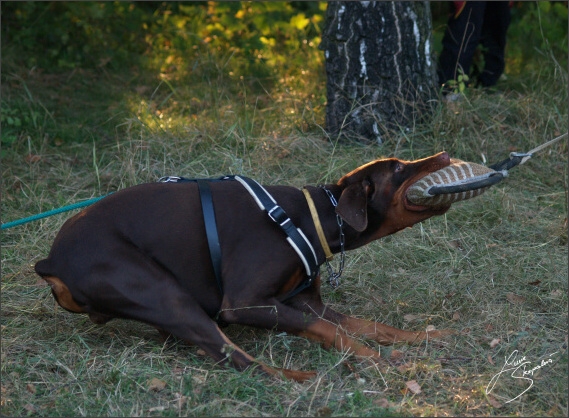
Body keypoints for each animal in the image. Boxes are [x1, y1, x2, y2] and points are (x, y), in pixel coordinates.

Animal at [34, 151, 452, 382]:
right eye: (397, 169)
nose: (447, 155)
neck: (312, 217)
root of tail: (52, 261)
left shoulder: (306, 300)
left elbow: (367, 325)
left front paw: (421, 338)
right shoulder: (245, 302)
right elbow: (329, 330)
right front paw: (374, 359)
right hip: (163, 292)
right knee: (238, 359)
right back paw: (298, 377)